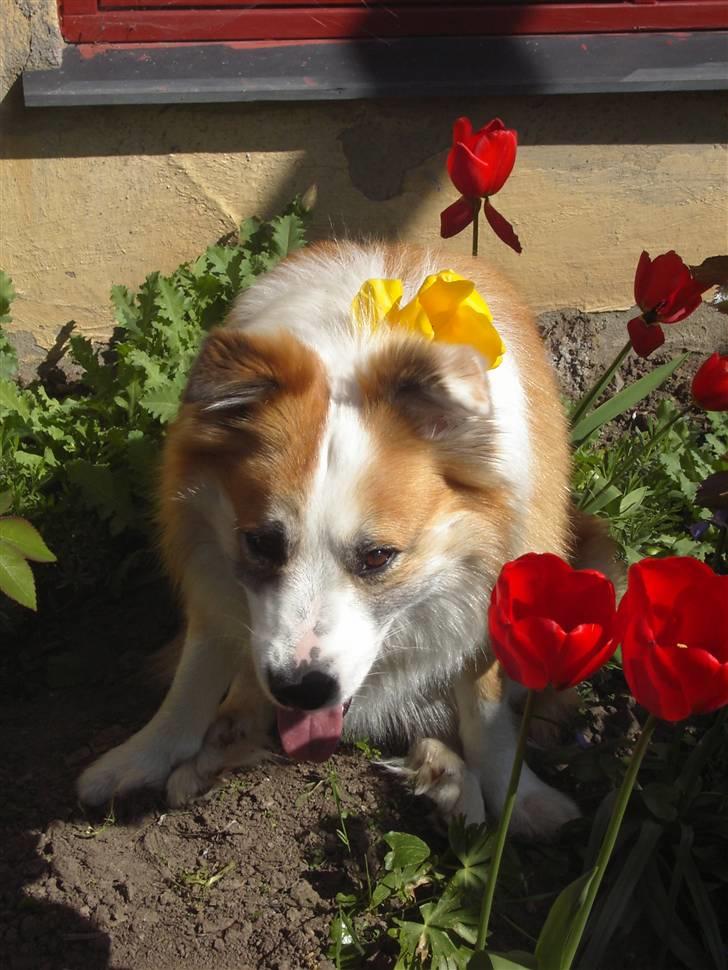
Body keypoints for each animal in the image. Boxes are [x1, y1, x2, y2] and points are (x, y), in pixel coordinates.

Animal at [78, 242, 616, 840]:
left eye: (379, 556)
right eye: (260, 542)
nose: (300, 689)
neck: (353, 356)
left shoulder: (496, 587)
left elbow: (485, 706)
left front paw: (519, 797)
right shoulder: (212, 572)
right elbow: (196, 674)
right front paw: (142, 758)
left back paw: (451, 781)